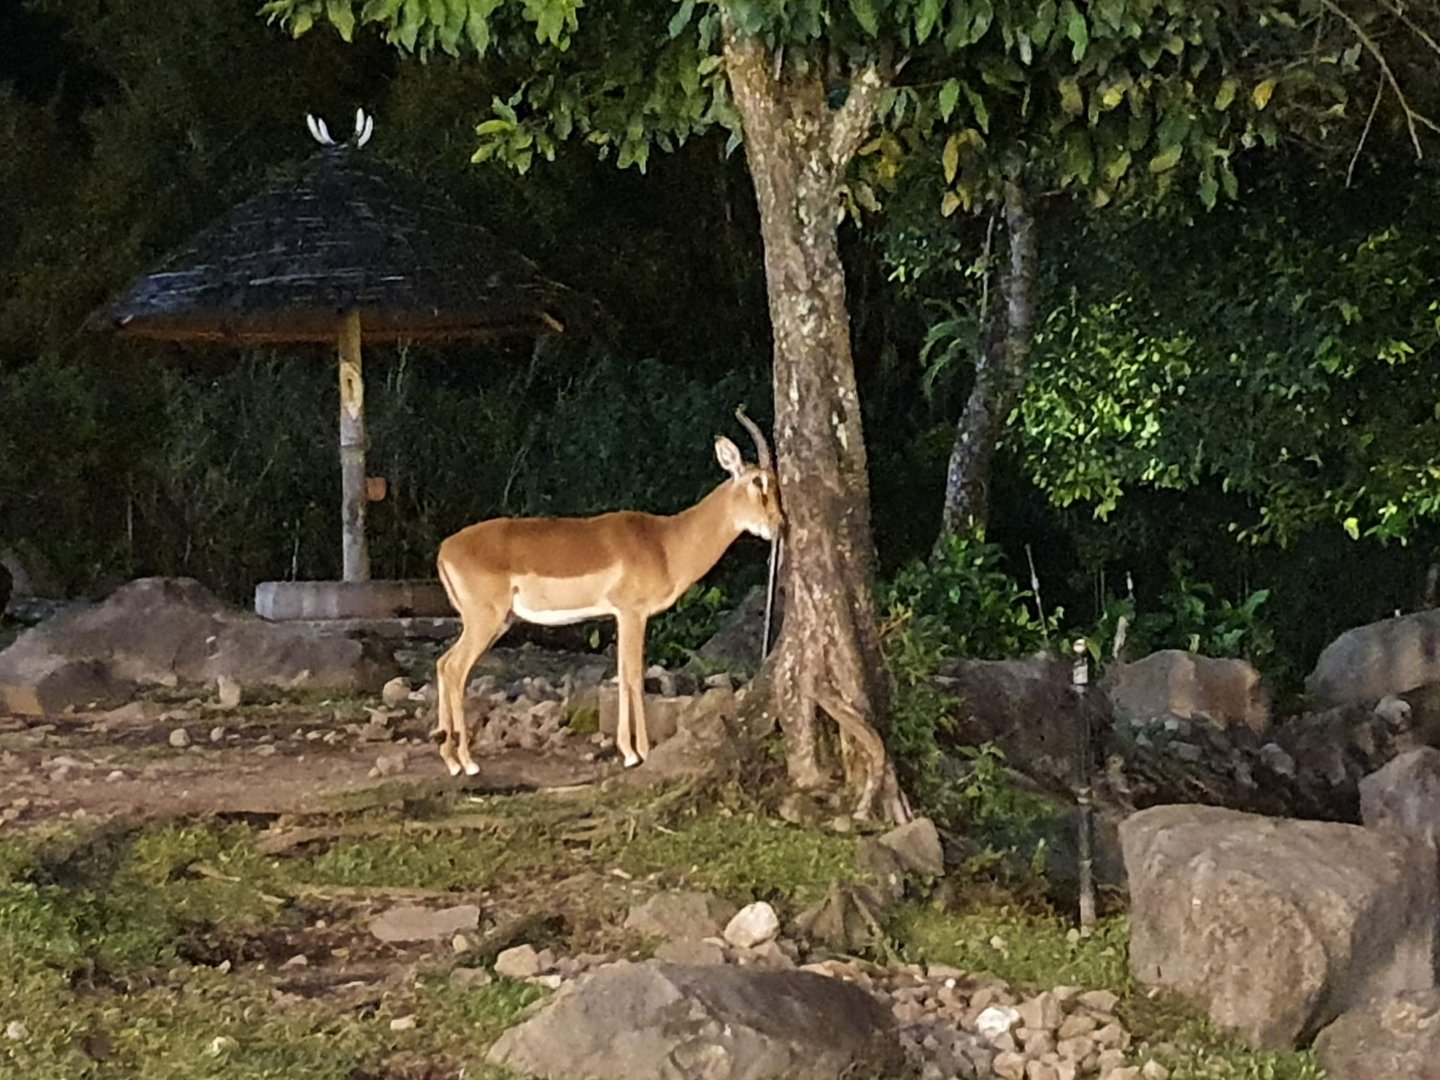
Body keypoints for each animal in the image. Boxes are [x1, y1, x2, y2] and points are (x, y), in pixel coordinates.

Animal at [433, 406, 783, 775]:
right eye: (758, 482)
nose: (779, 525)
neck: (666, 543)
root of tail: (444, 549)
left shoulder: (620, 615)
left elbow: (621, 674)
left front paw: (628, 751)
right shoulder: (633, 613)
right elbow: (633, 675)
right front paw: (639, 752)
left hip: (496, 622)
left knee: (443, 664)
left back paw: (451, 759)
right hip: (485, 620)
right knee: (455, 669)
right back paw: (467, 763)